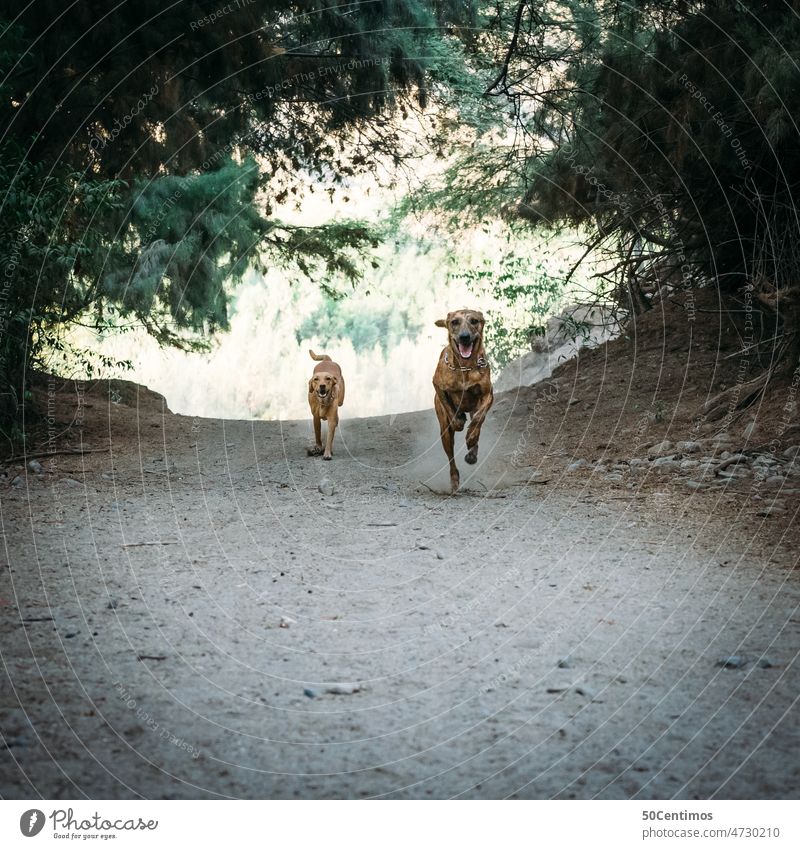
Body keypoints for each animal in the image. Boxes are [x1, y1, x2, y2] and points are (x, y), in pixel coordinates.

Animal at [432, 308, 494, 490]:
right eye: (455, 322)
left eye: (474, 321)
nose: (464, 337)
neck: (465, 367)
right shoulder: (438, 385)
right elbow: (449, 408)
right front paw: (458, 421)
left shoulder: (488, 394)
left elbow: (479, 419)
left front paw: (471, 437)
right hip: (444, 434)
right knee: (451, 458)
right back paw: (454, 479)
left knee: (477, 424)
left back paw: (472, 452)